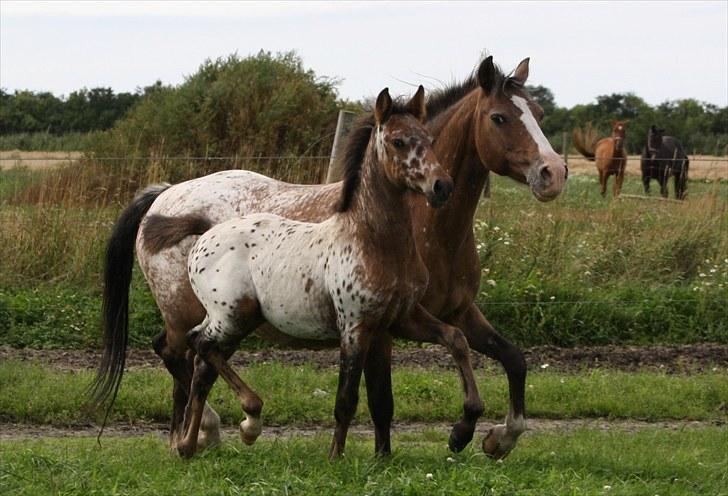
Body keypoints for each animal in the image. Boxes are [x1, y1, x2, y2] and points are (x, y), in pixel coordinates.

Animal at [92, 56, 568, 460]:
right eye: (499, 117)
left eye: (539, 114)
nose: (554, 174)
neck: (427, 228)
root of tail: (163, 196)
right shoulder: (380, 328)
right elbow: (379, 398)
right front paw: (397, 452)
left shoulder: (456, 311)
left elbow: (513, 359)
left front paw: (494, 437)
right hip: (190, 312)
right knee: (179, 354)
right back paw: (203, 432)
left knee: (195, 362)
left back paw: (201, 435)